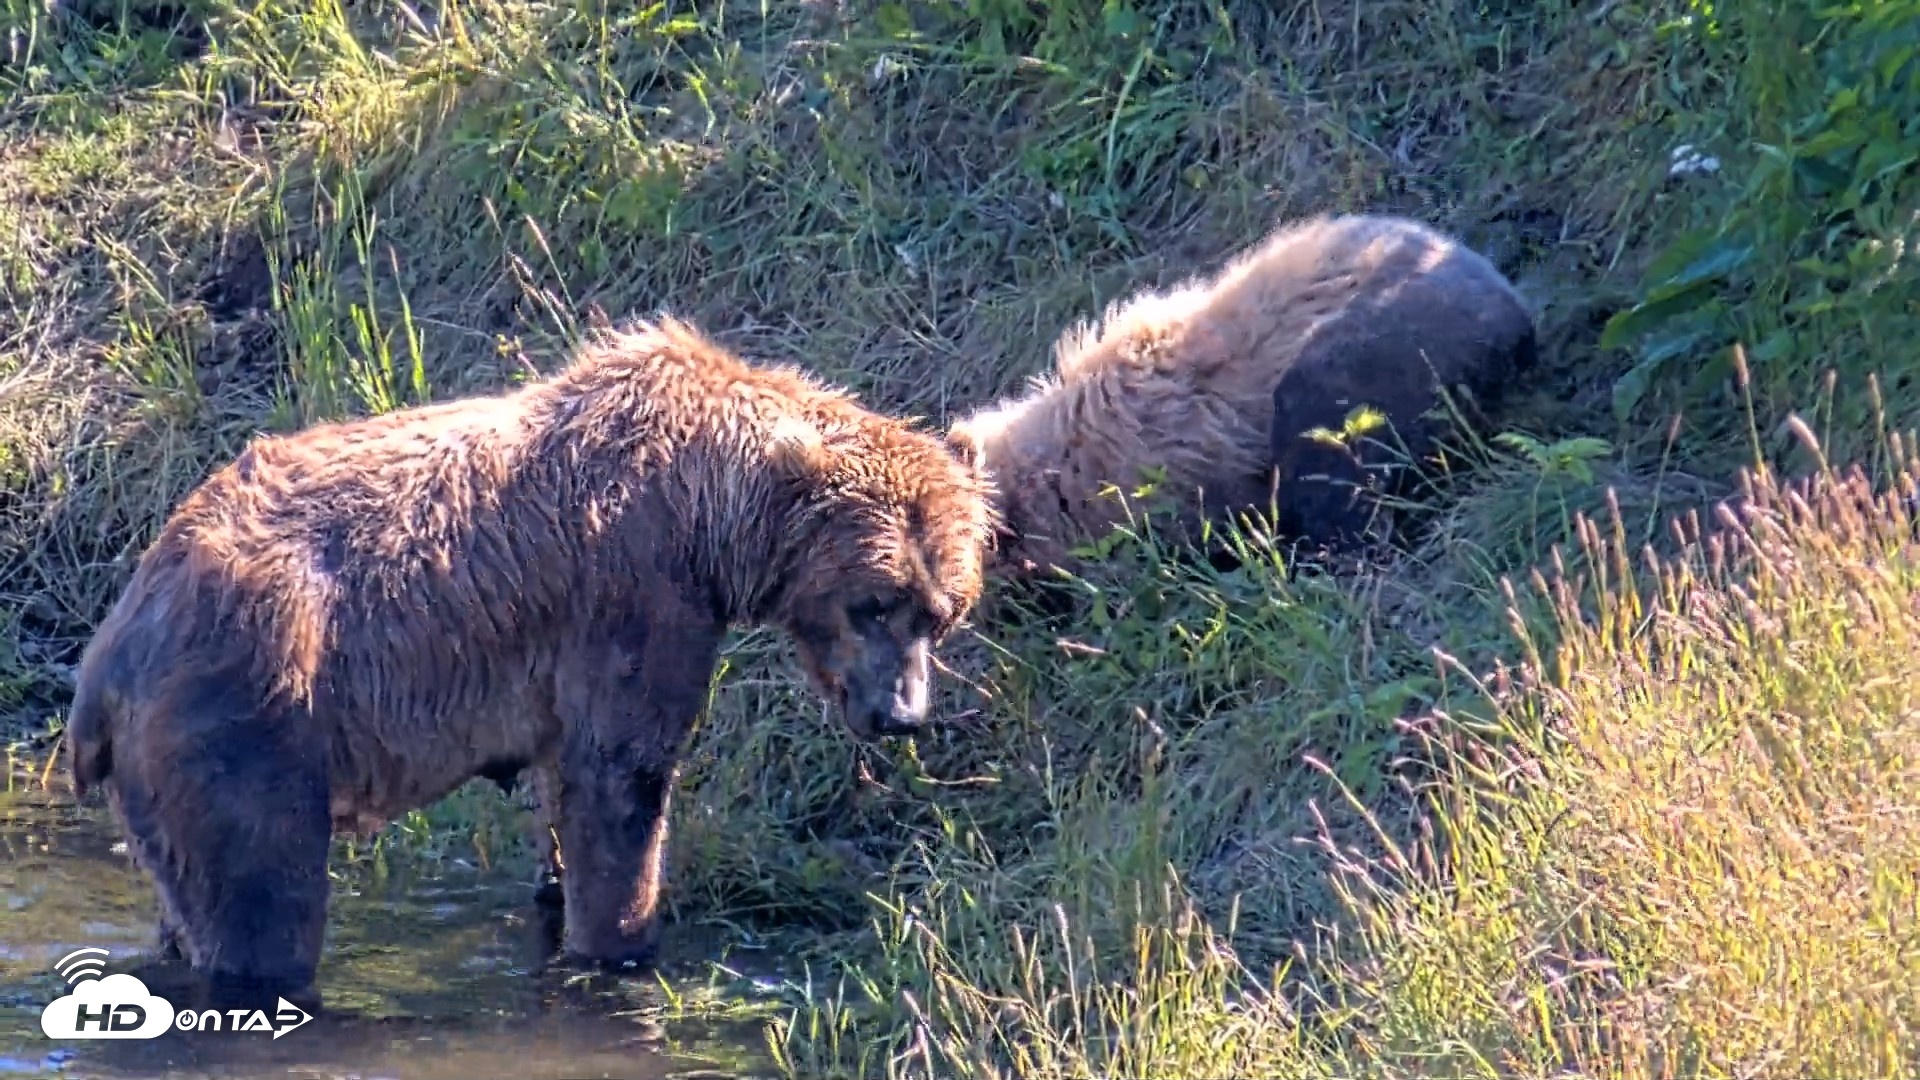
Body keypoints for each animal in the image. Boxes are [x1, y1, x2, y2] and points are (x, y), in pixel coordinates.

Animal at [62, 315, 1000, 1008]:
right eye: (873, 602)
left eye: (941, 611)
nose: (902, 714)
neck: (714, 516)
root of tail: (107, 654)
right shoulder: (634, 595)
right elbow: (623, 779)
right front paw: (624, 946)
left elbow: (566, 796)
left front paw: (559, 900)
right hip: (243, 725)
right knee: (265, 904)